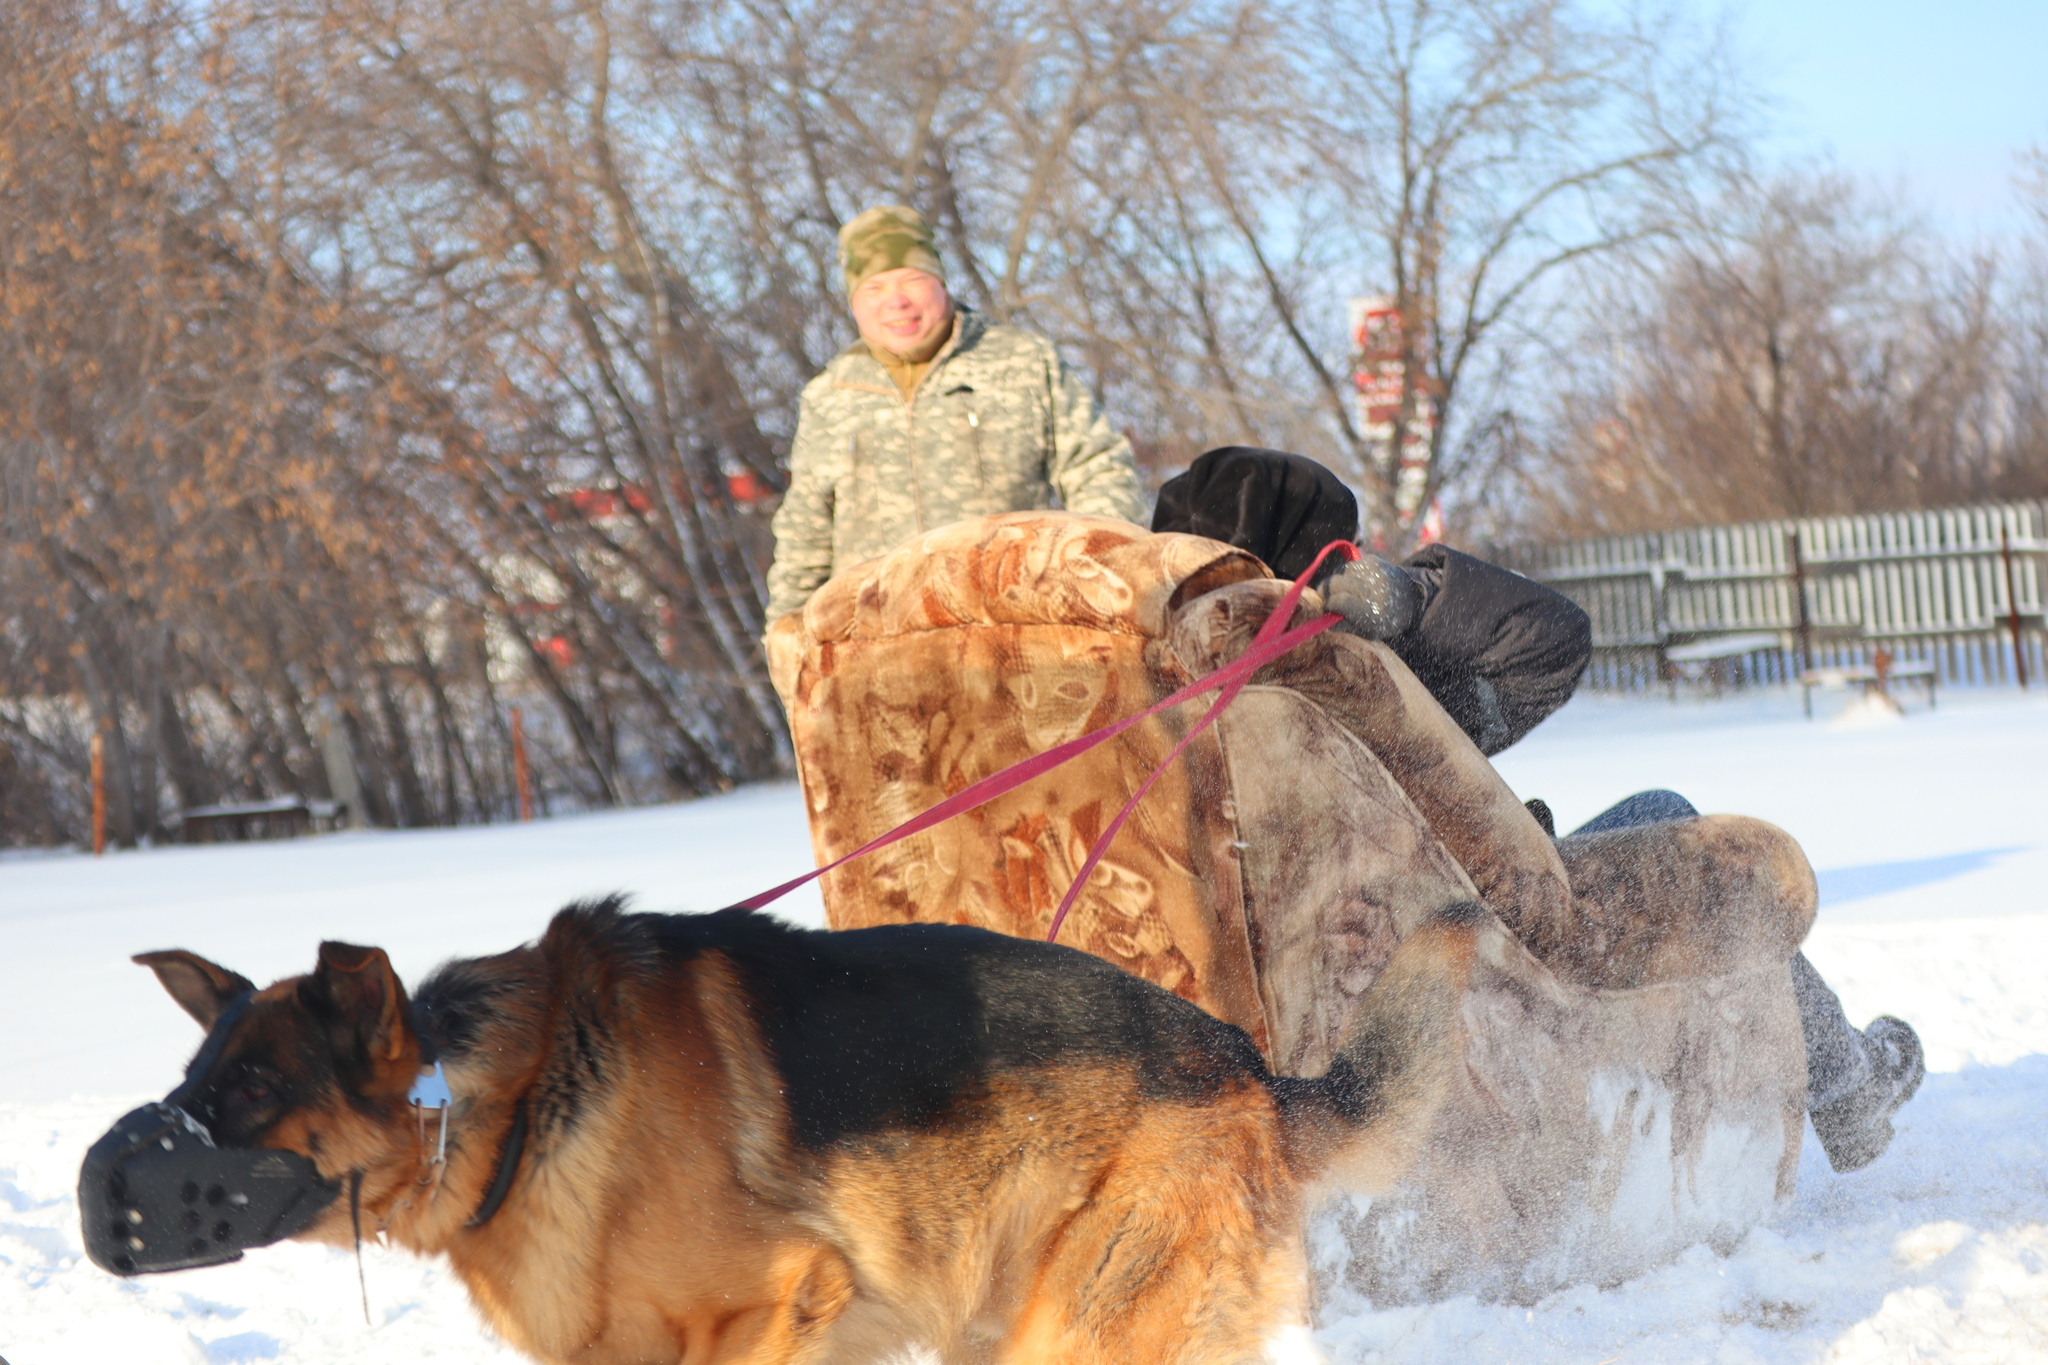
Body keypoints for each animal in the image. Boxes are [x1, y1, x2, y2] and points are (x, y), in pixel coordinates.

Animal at [92, 900, 1474, 1358]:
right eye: (193, 1082)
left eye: (246, 1099)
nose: (103, 1199)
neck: (511, 1104)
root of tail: (1249, 1069)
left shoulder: (774, 1310)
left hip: (1078, 1330)